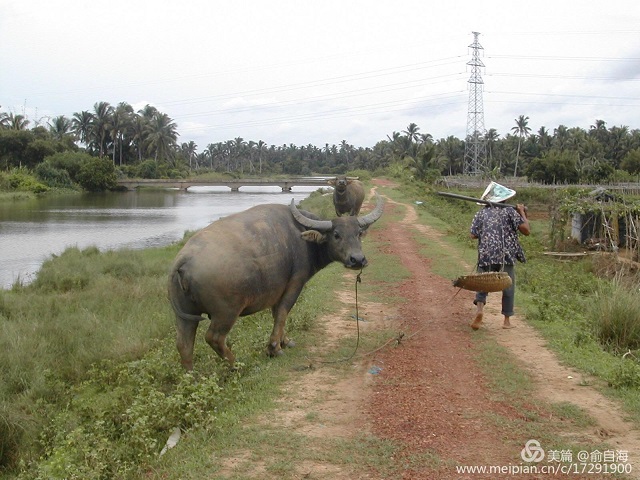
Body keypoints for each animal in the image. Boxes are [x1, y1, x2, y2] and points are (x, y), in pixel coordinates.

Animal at [167, 195, 384, 369]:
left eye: (358, 233)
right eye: (337, 235)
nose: (357, 260)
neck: (304, 239)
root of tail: (184, 258)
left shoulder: (278, 289)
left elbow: (276, 314)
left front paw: (285, 341)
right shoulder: (295, 283)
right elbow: (282, 312)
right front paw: (274, 348)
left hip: (185, 315)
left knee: (184, 344)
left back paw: (191, 376)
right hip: (226, 312)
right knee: (214, 338)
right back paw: (237, 365)